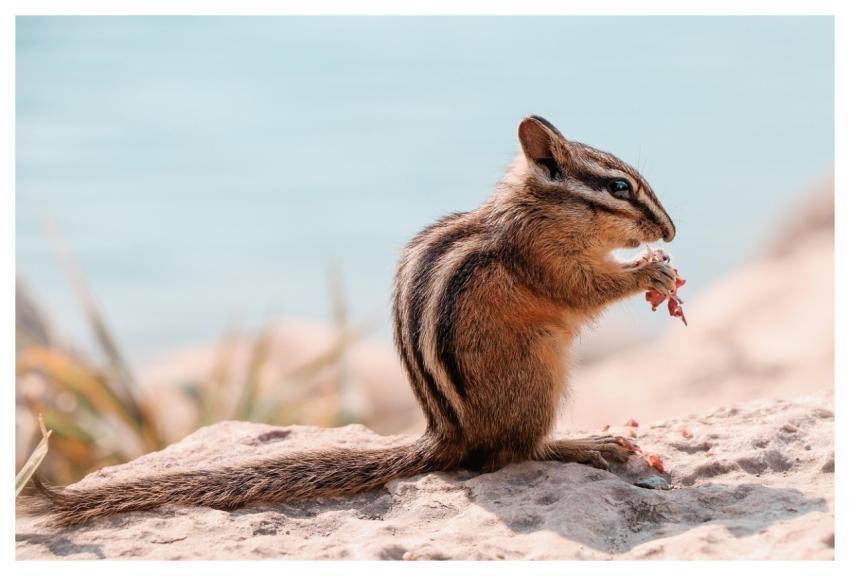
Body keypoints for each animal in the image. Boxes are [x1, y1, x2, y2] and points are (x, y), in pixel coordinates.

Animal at [21, 115, 677, 526]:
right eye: (619, 187)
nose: (670, 231)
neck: (540, 208)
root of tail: (448, 435)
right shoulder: (541, 258)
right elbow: (582, 289)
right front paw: (649, 272)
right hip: (537, 377)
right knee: (511, 454)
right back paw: (583, 443)